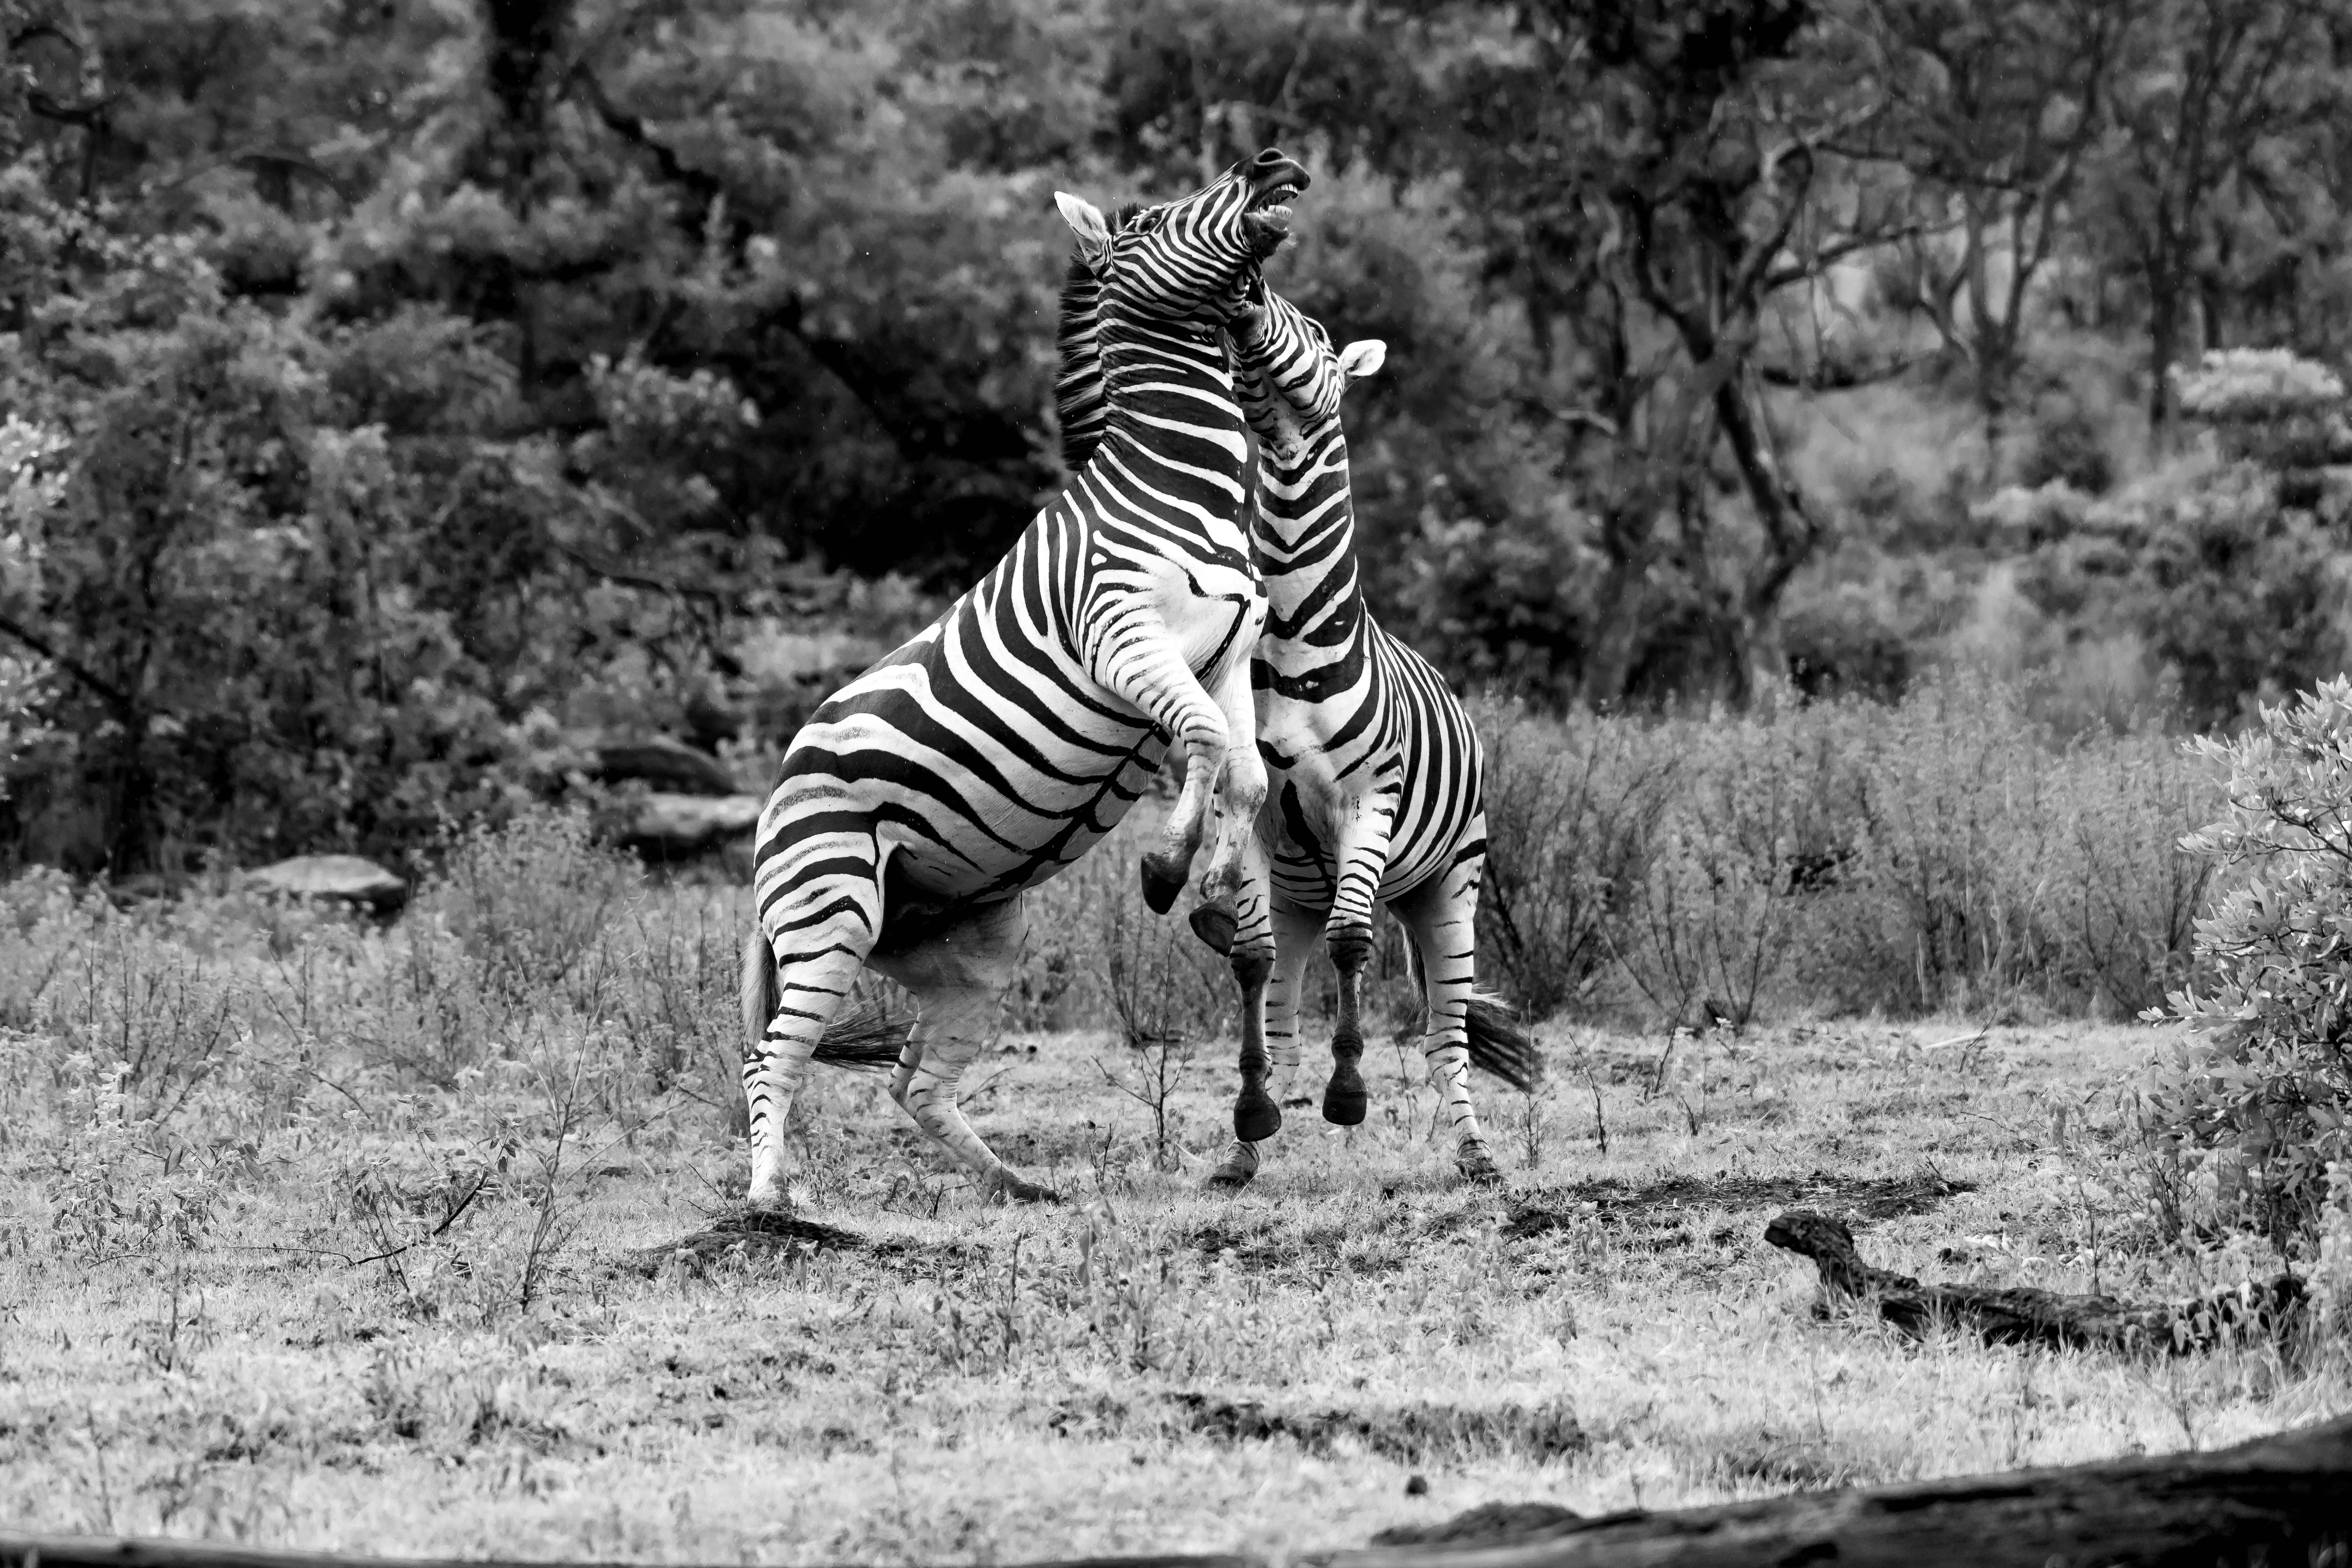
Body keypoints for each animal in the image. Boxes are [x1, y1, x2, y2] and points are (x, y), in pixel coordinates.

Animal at [737, 149, 1309, 1212]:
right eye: (1157, 217)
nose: (1271, 162)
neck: (1183, 484)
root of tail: (778, 788)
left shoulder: (1225, 655)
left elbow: (1247, 775)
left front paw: (1213, 883)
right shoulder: (1122, 639)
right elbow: (1207, 744)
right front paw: (1167, 866)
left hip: (967, 946)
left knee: (915, 1080)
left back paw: (1014, 1182)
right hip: (828, 907)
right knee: (772, 1053)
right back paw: (766, 1200)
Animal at [1054, 246, 1538, 1189]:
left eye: (1313, 333)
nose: (1245, 294)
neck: (1290, 636)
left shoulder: (1364, 807)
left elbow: (1355, 945)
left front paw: (1348, 1097)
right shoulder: (1256, 832)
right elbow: (1248, 967)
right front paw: (1251, 1121)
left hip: (1449, 883)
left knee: (1447, 1030)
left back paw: (1476, 1155)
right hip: (1294, 896)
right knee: (1280, 1002)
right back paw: (1248, 1153)